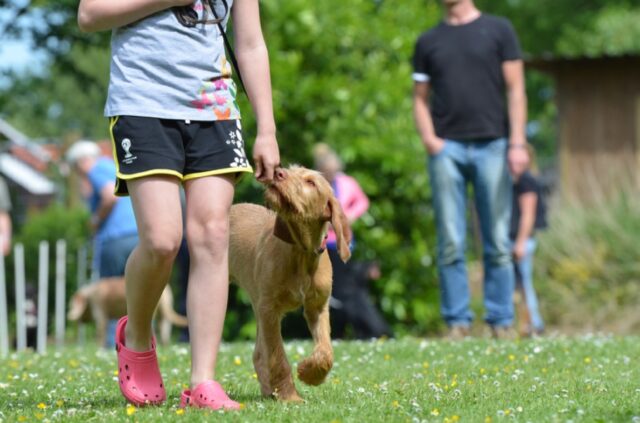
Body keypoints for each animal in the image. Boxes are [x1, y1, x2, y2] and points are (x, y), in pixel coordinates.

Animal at [229, 165, 350, 400]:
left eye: (311, 182)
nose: (278, 172)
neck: (301, 252)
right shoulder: (270, 309)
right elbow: (278, 356)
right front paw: (290, 396)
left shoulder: (317, 307)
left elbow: (326, 351)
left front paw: (310, 374)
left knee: (258, 353)